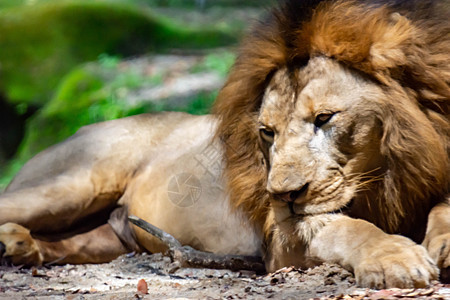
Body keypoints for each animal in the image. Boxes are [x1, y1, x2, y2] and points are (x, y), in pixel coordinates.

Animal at [0, 0, 450, 290]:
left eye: (324, 118)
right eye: (267, 132)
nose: (281, 195)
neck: (385, 174)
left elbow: (441, 207)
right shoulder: (281, 240)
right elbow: (343, 226)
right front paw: (395, 258)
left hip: (101, 238)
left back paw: (19, 246)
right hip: (72, 185)